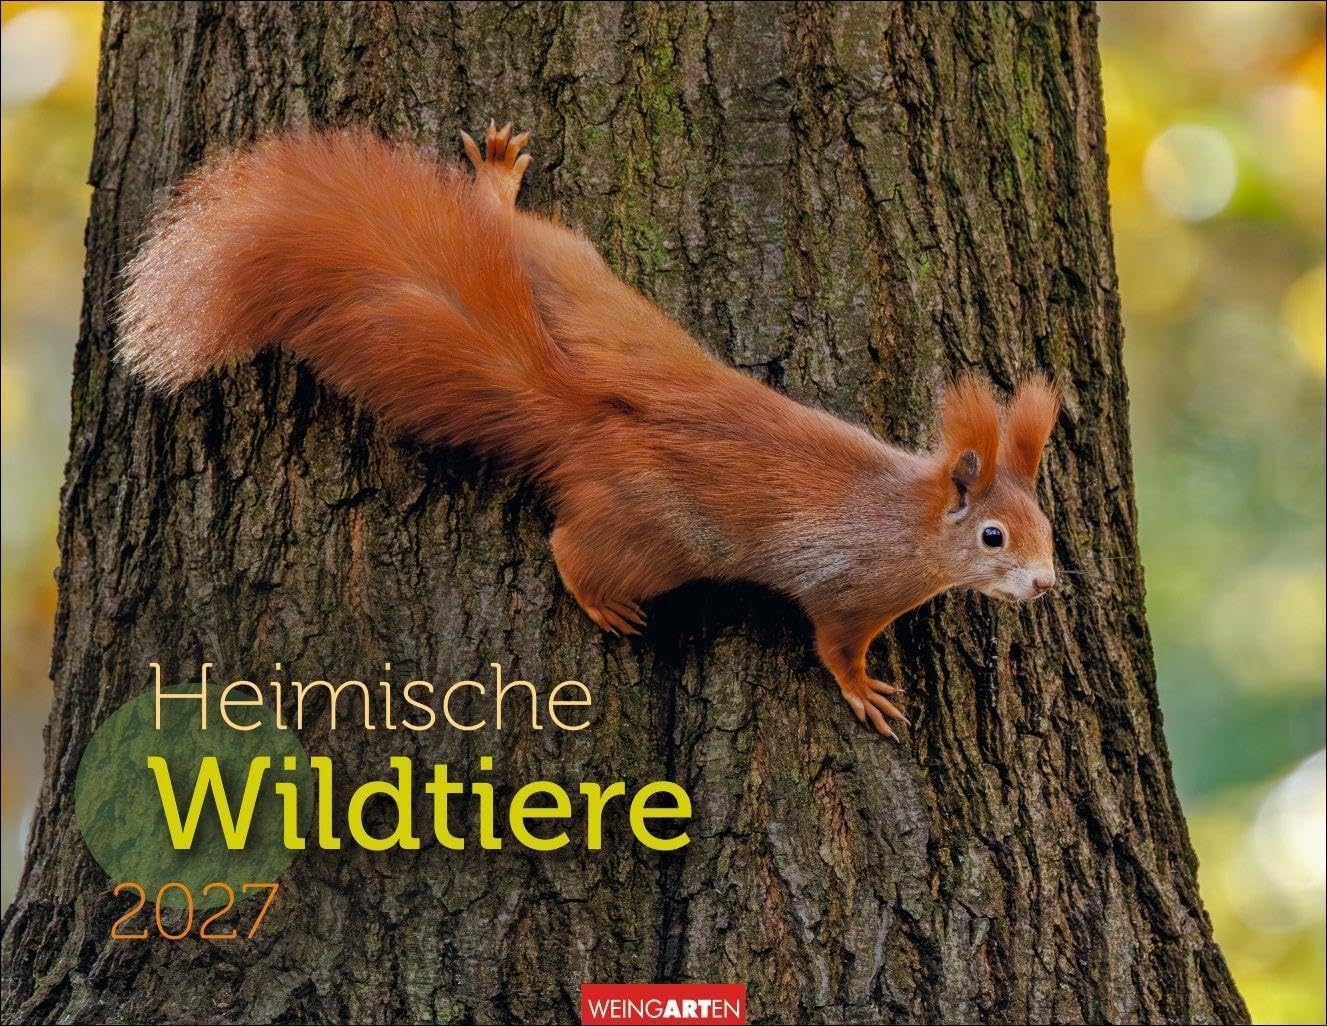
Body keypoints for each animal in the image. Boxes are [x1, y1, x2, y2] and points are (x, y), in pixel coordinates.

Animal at [117, 122, 1060, 739]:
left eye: (1047, 527)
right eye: (992, 536)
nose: (1049, 584)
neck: (908, 521)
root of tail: (581, 416)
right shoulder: (845, 589)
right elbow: (833, 645)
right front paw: (864, 692)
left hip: (581, 280)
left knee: (513, 235)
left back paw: (496, 188)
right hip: (655, 539)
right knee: (571, 547)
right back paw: (599, 600)